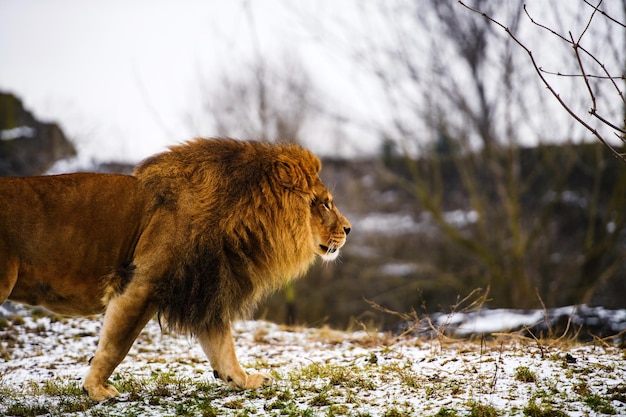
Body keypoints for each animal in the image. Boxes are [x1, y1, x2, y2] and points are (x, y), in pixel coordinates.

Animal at [0, 138, 352, 402]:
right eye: (325, 203)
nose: (349, 229)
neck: (241, 218)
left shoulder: (206, 286)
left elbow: (223, 347)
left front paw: (243, 379)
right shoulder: (142, 284)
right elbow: (115, 345)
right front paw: (96, 389)